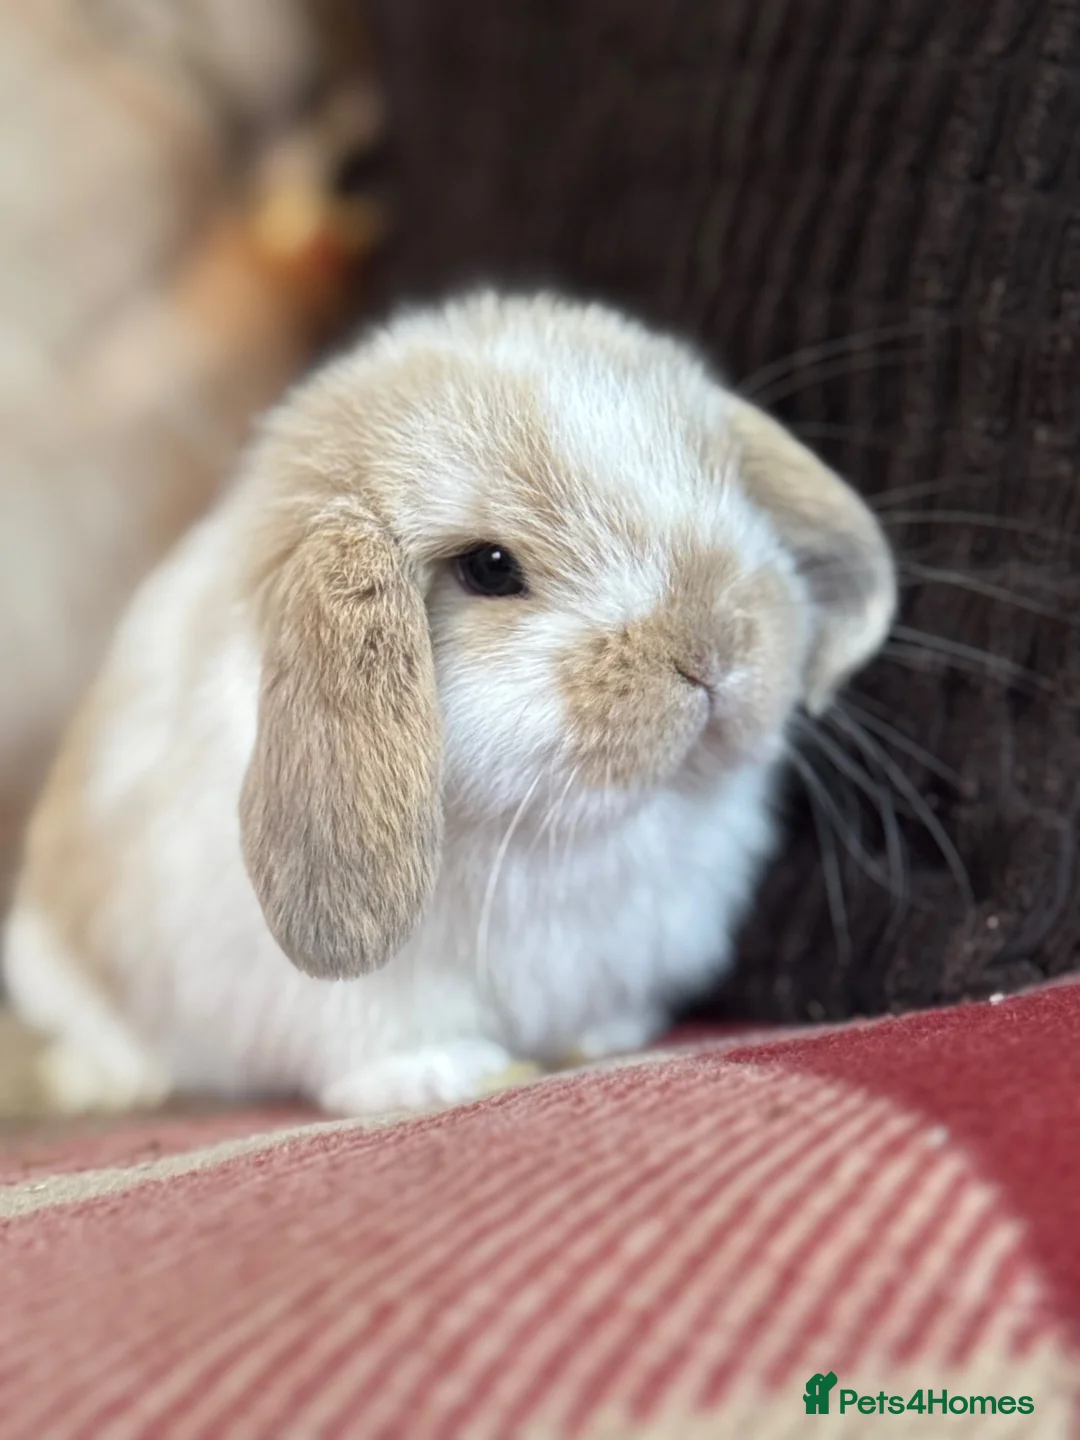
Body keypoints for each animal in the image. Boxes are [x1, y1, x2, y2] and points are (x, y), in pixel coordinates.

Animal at [1, 291, 896, 1117]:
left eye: (726, 484)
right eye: (490, 568)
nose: (711, 653)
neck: (563, 837)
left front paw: (605, 1035)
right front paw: (449, 1075)